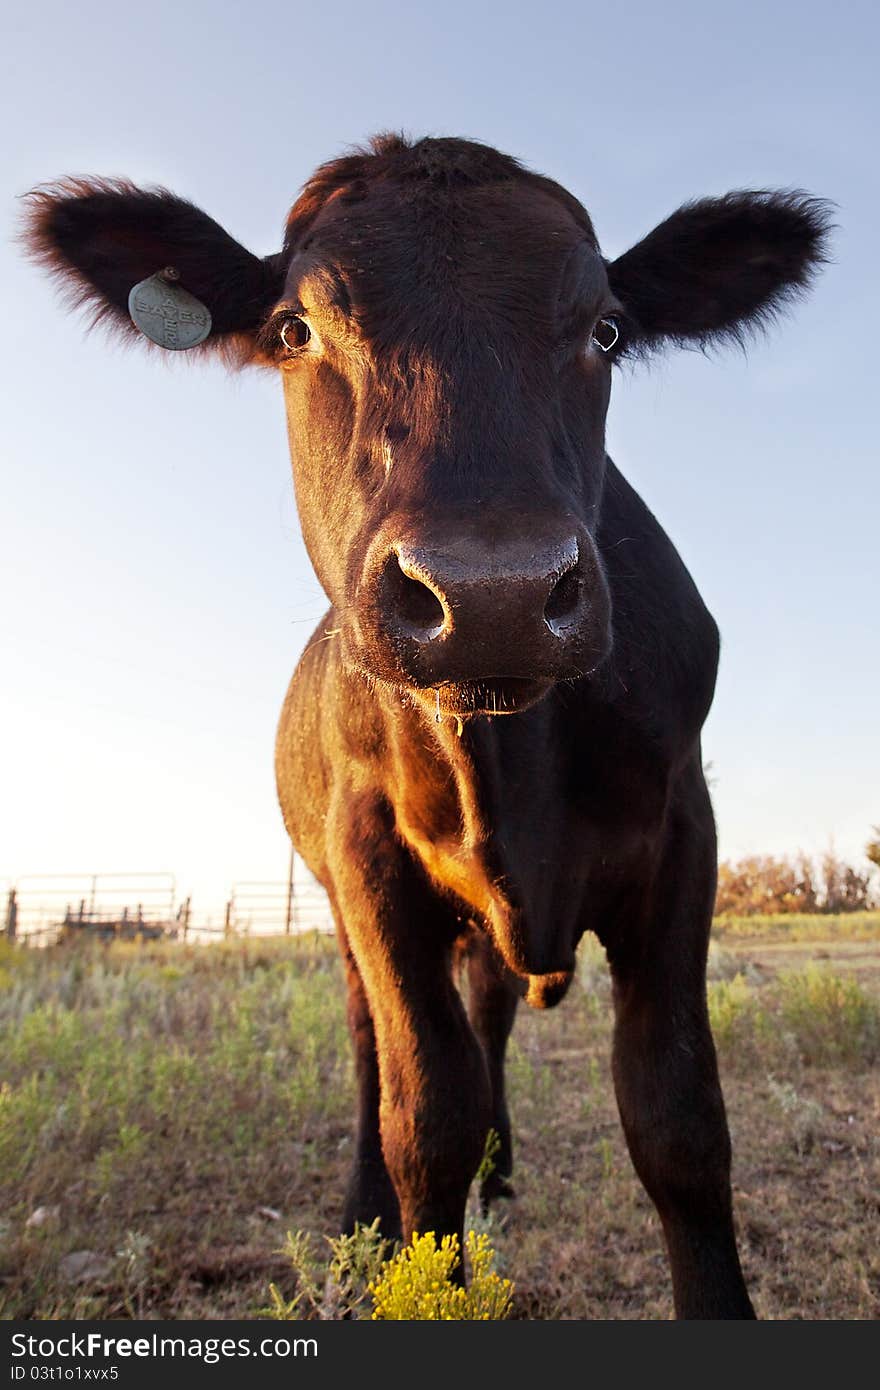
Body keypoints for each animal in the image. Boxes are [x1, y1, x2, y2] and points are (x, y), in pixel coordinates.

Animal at [23, 135, 828, 1317]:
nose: (492, 592)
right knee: (374, 1045)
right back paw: (365, 1204)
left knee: (489, 1012)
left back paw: (503, 1170)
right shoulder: (367, 856)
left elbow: (677, 1115)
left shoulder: (686, 828)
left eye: (605, 329)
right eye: (294, 329)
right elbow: (425, 1114)